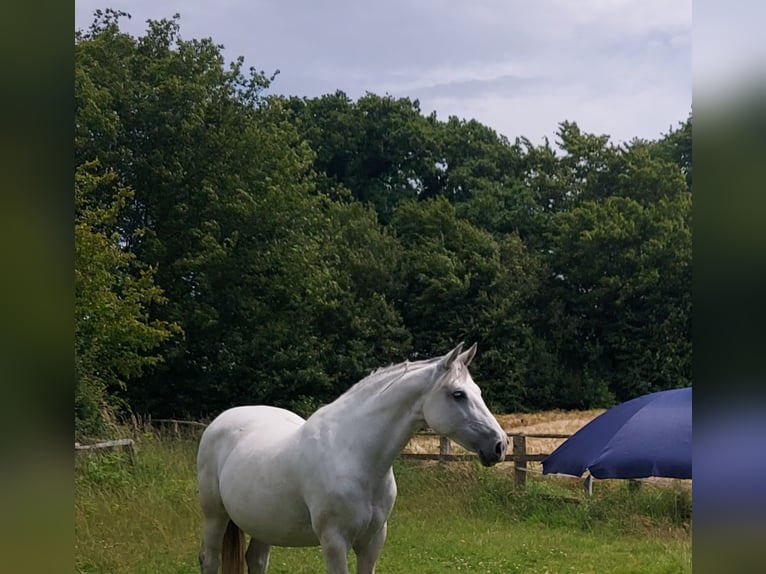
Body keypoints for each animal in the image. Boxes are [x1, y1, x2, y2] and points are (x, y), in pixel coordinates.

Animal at [198, 344, 508, 572]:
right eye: (458, 394)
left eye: (478, 392)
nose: (500, 445)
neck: (355, 455)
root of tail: (221, 421)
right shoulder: (334, 542)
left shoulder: (373, 541)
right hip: (214, 516)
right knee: (210, 559)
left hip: (264, 524)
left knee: (256, 559)